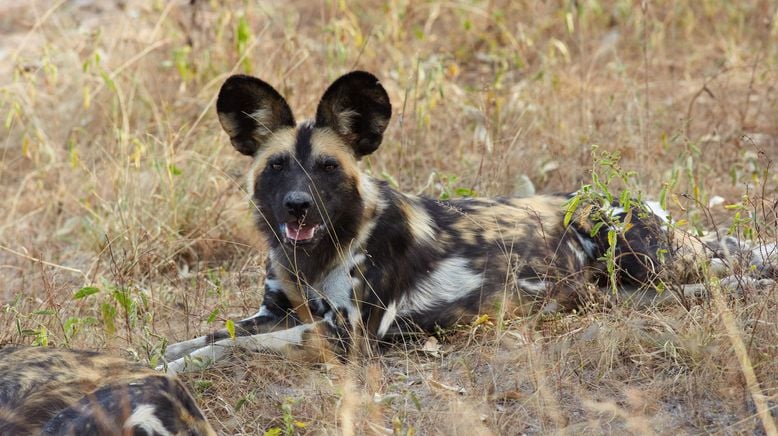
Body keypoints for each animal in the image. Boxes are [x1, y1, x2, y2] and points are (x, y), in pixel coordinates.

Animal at [162, 70, 768, 372]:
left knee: (728, 267)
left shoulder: (345, 336)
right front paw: (173, 353)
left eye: (328, 168)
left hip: (646, 257)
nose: (296, 206)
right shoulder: (277, 312)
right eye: (279, 165)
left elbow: (230, 347)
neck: (311, 257)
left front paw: (180, 368)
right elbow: (218, 332)